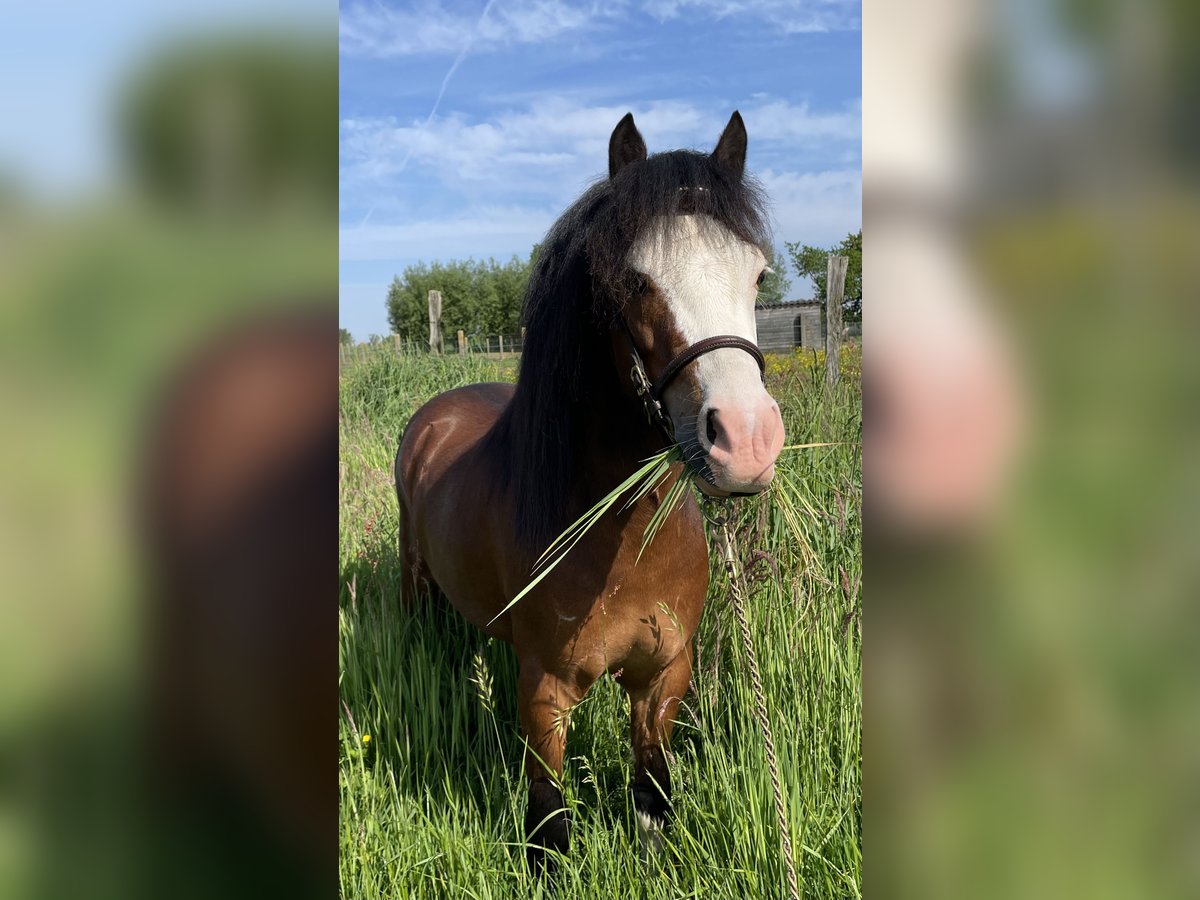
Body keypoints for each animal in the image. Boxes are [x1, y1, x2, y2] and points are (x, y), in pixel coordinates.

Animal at [393, 112, 787, 873]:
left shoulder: (664, 674)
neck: (622, 538)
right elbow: (549, 816)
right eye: (633, 279)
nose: (747, 443)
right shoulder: (545, 690)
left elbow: (653, 792)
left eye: (756, 273)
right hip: (412, 575)